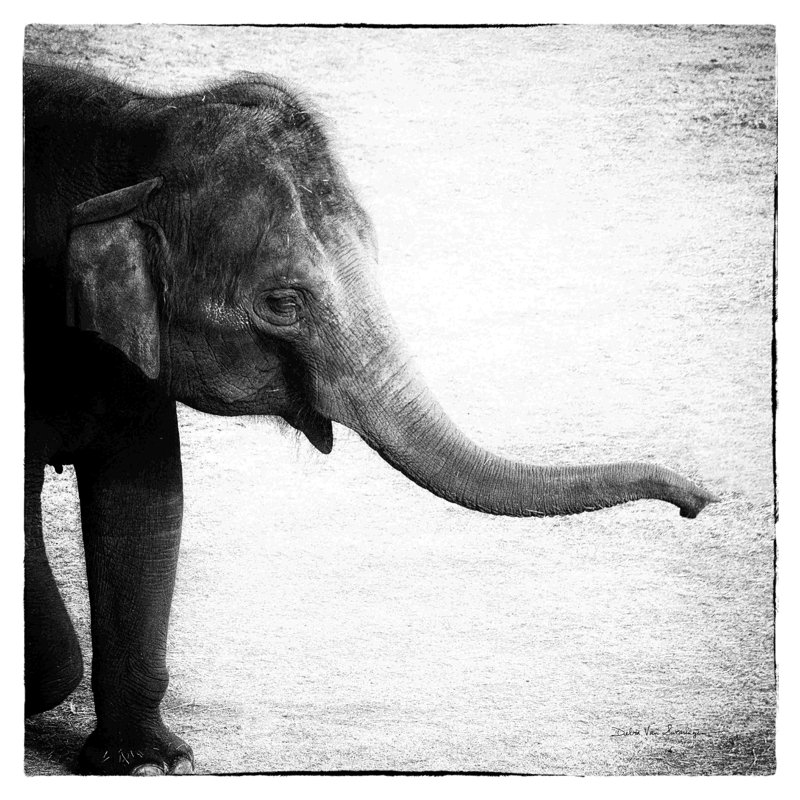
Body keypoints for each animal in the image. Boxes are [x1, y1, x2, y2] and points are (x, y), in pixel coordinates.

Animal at [23, 60, 717, 775]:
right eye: (283, 302)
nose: (701, 501)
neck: (137, 128)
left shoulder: (133, 361)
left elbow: (148, 500)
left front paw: (151, 763)